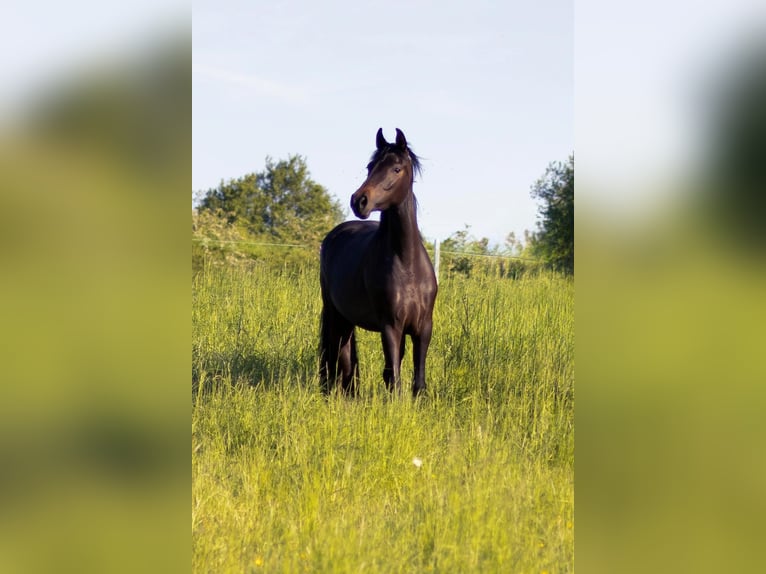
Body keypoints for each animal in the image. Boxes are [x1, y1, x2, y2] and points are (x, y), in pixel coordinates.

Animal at [320, 128, 438, 398]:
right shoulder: (390, 327)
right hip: (335, 314)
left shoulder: (422, 328)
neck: (407, 264)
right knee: (334, 356)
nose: (359, 201)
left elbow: (417, 381)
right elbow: (393, 378)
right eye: (370, 166)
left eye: (396, 168)